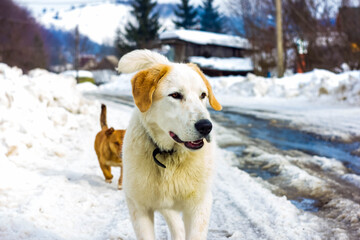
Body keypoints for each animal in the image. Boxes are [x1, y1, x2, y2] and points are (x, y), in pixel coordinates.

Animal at [117, 49, 222, 239]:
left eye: (203, 95)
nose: (206, 126)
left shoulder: (199, 205)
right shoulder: (138, 206)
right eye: (175, 95)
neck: (170, 156)